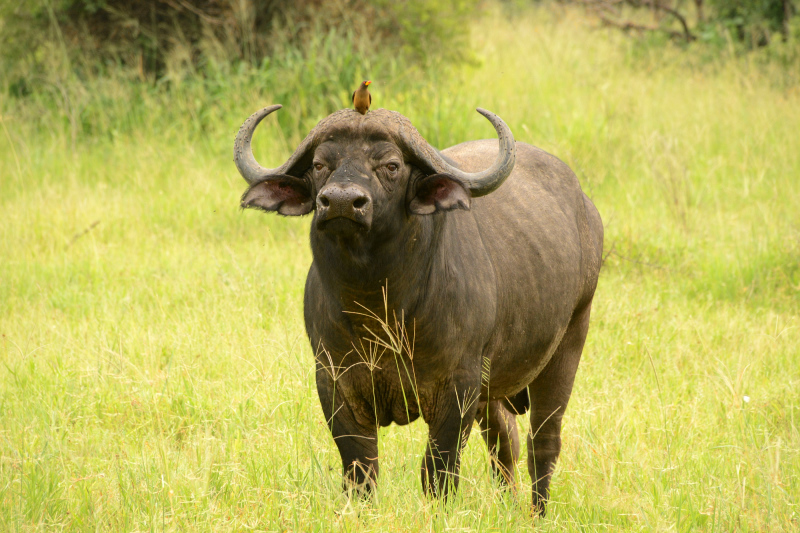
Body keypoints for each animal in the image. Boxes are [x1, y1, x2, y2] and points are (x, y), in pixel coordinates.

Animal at [234, 102, 604, 512]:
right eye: (319, 164)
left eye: (391, 165)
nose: (342, 201)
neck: (381, 311)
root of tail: (586, 210)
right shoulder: (333, 380)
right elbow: (360, 470)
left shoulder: (458, 385)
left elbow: (438, 471)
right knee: (504, 438)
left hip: (570, 340)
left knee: (544, 442)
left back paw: (537, 513)